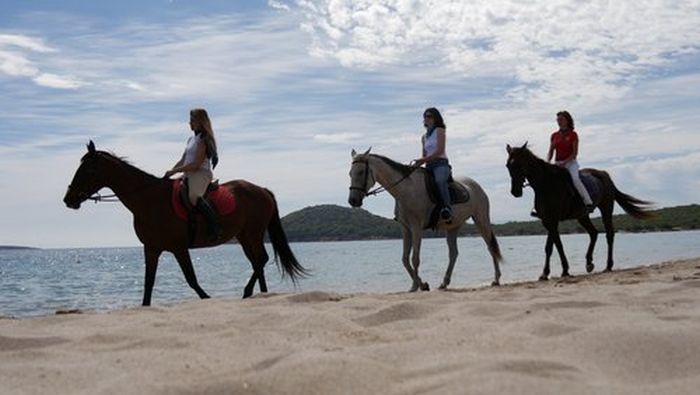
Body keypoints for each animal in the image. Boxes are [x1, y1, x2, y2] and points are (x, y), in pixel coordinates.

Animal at [63, 142, 306, 306]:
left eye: (88, 170)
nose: (68, 199)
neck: (150, 199)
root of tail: (261, 190)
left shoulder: (179, 248)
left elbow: (191, 279)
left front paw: (207, 298)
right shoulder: (151, 249)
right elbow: (148, 283)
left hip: (253, 233)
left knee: (261, 260)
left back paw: (247, 292)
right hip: (244, 236)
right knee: (257, 262)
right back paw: (261, 294)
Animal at [346, 148, 500, 290]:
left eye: (361, 172)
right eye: (350, 173)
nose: (353, 201)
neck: (406, 189)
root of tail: (477, 186)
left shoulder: (416, 227)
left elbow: (415, 258)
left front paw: (418, 285)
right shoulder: (405, 228)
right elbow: (405, 259)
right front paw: (419, 285)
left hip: (481, 220)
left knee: (490, 246)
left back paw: (496, 279)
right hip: (453, 227)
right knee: (453, 253)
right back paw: (444, 283)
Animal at [506, 142, 652, 282]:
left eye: (518, 164)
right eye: (508, 166)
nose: (515, 192)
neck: (546, 184)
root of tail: (604, 174)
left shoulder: (553, 220)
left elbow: (550, 246)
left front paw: (550, 272)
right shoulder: (547, 221)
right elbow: (556, 246)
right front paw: (558, 271)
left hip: (606, 209)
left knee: (609, 234)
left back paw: (608, 265)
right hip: (582, 216)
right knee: (593, 233)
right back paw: (589, 262)